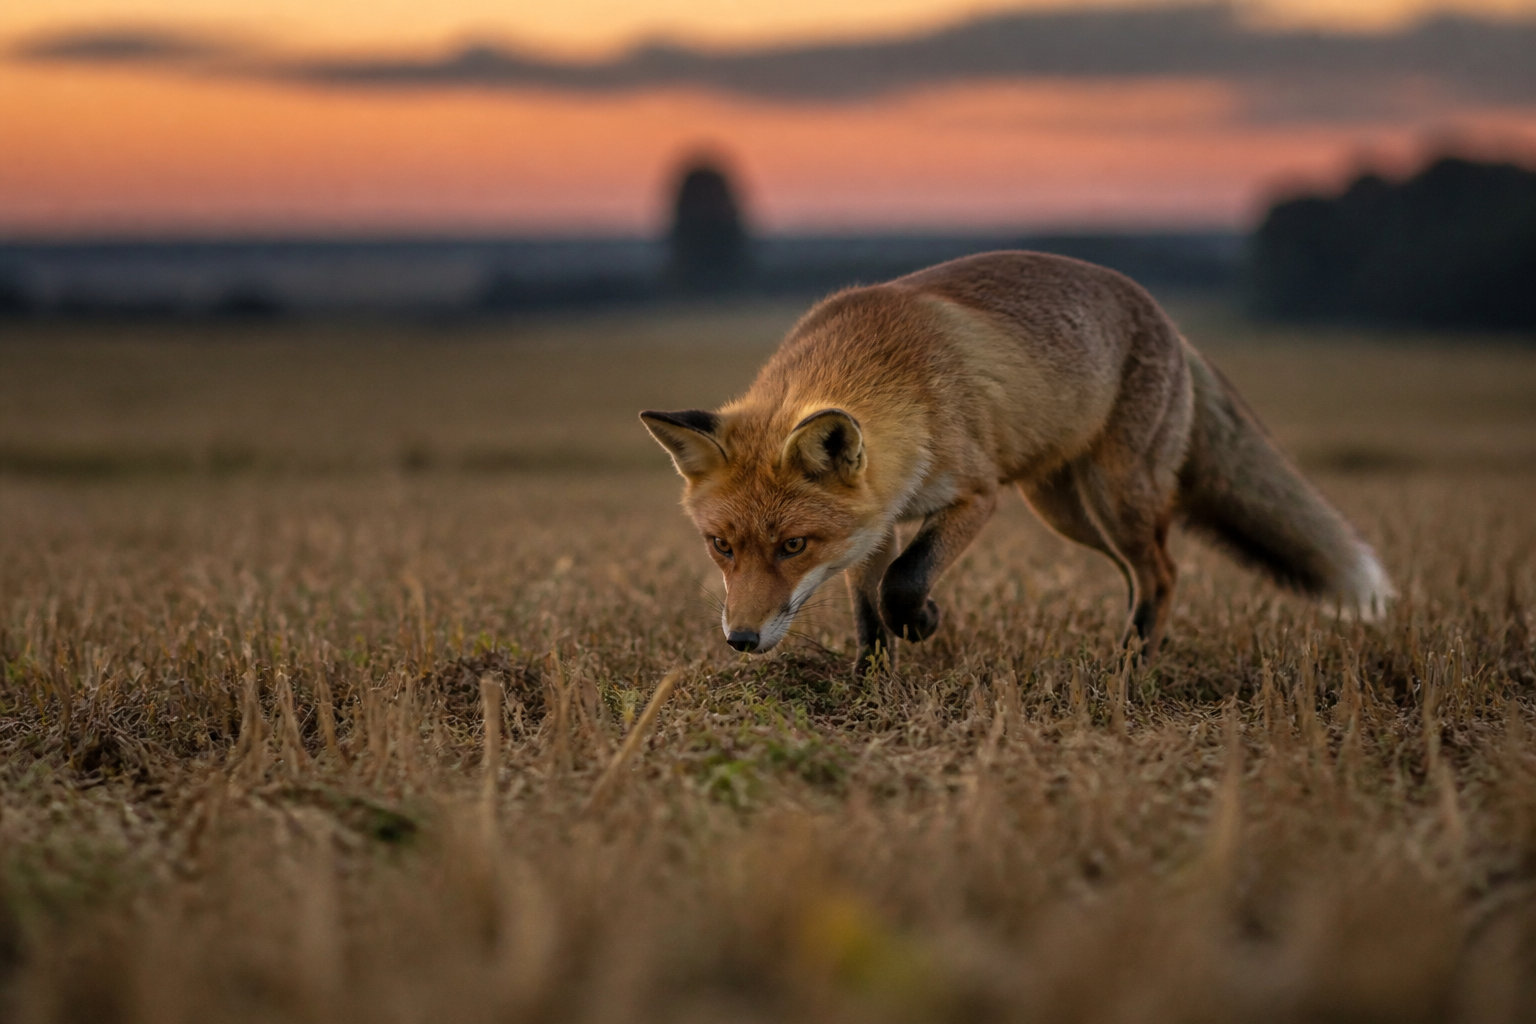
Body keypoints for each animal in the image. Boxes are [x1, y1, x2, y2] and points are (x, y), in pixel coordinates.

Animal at [641, 251, 1393, 673]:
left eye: (793, 545)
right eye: (720, 547)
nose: (741, 640)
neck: (895, 380)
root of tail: (1171, 324)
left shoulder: (975, 496)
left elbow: (904, 583)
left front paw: (923, 623)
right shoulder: (874, 523)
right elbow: (867, 611)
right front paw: (868, 682)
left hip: (1114, 496)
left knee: (1165, 570)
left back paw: (1131, 666)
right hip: (1066, 510)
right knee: (1141, 574)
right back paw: (1129, 646)